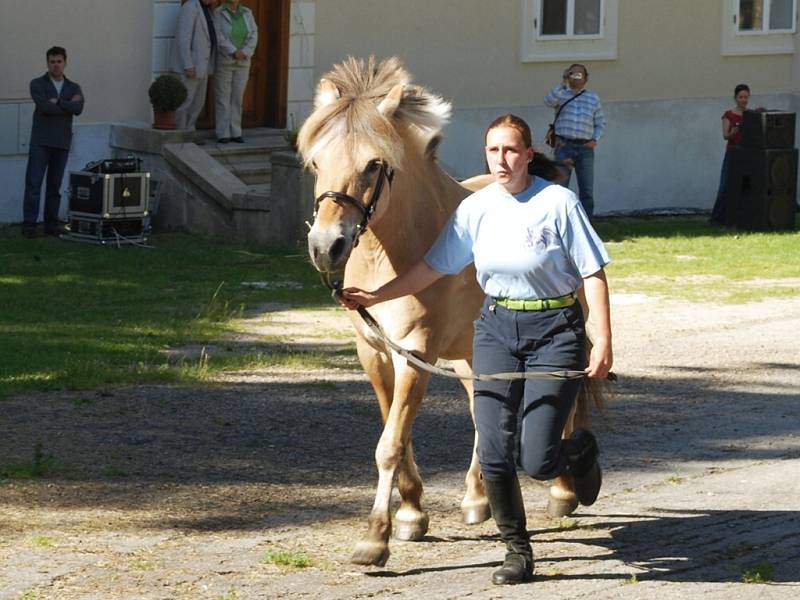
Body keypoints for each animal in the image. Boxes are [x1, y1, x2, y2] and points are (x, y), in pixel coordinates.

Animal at [296, 56, 596, 568]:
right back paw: (477, 498)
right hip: (470, 356)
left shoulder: (416, 352)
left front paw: (375, 538)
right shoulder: (376, 353)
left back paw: (563, 491)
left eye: (374, 164)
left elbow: (390, 444)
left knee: (562, 404)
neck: (396, 251)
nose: (326, 246)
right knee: (483, 413)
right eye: (317, 162)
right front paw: (412, 513)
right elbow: (398, 433)